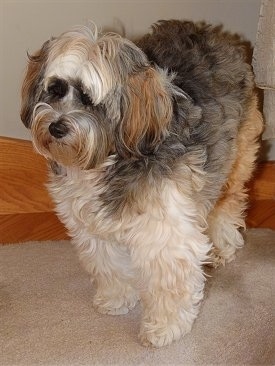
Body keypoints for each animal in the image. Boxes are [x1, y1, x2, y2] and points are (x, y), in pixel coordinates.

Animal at [21, 20, 264, 348]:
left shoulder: (165, 233)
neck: (108, 159)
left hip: (232, 162)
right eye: (55, 89)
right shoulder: (92, 229)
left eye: (89, 99)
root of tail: (217, 34)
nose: (56, 127)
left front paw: (164, 328)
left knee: (227, 206)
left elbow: (168, 282)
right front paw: (117, 299)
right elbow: (108, 264)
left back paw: (224, 247)